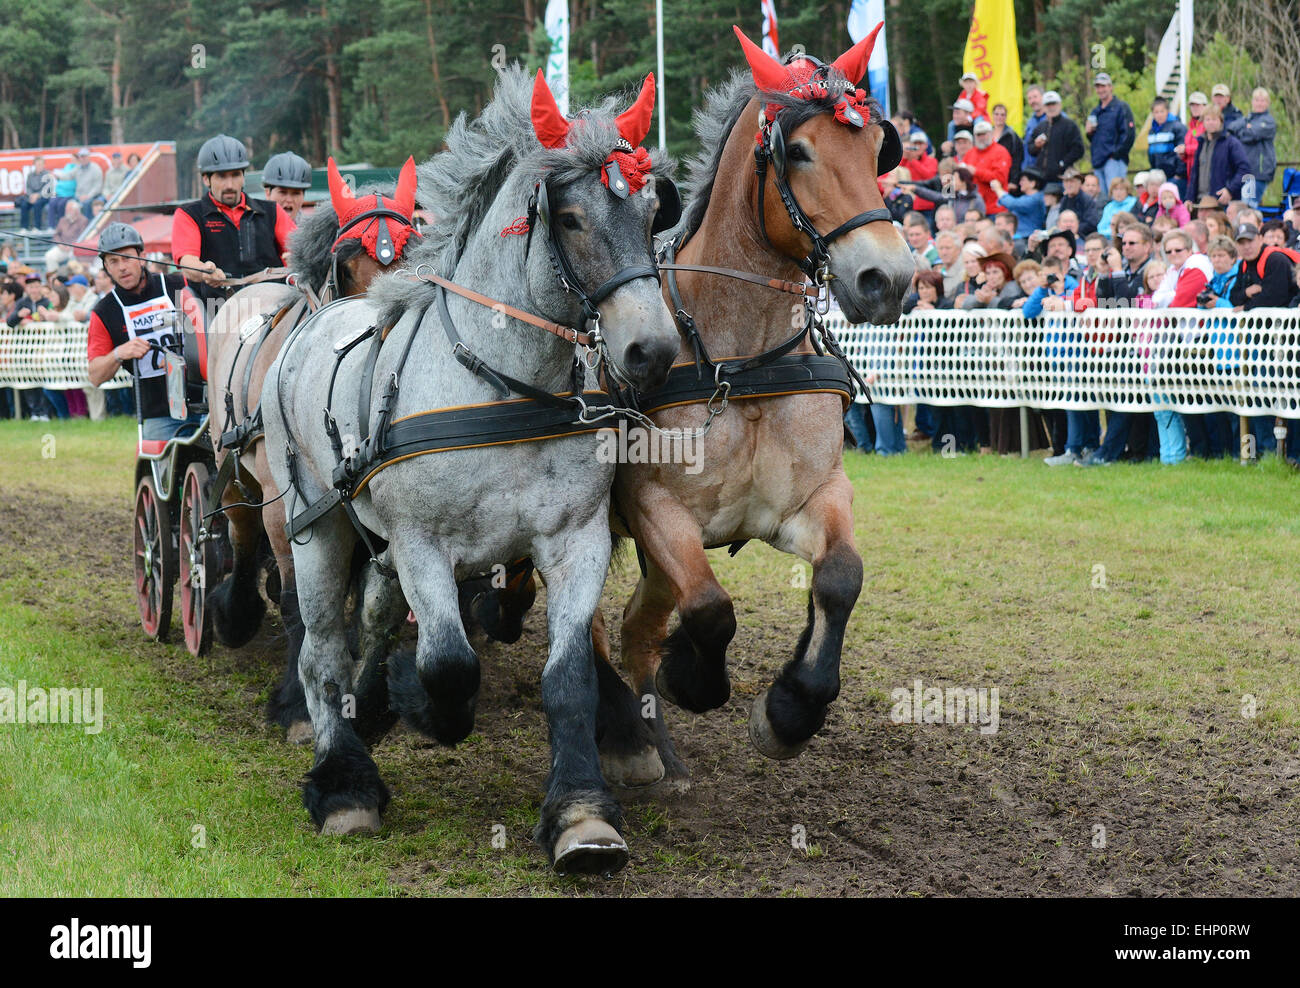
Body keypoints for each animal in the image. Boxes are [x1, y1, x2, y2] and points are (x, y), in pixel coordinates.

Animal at [208, 157, 418, 738]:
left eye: (412, 252)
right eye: (345, 263)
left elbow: (372, 600)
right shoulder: (289, 505)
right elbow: (296, 601)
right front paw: (300, 708)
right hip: (234, 470)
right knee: (240, 534)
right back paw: (233, 614)